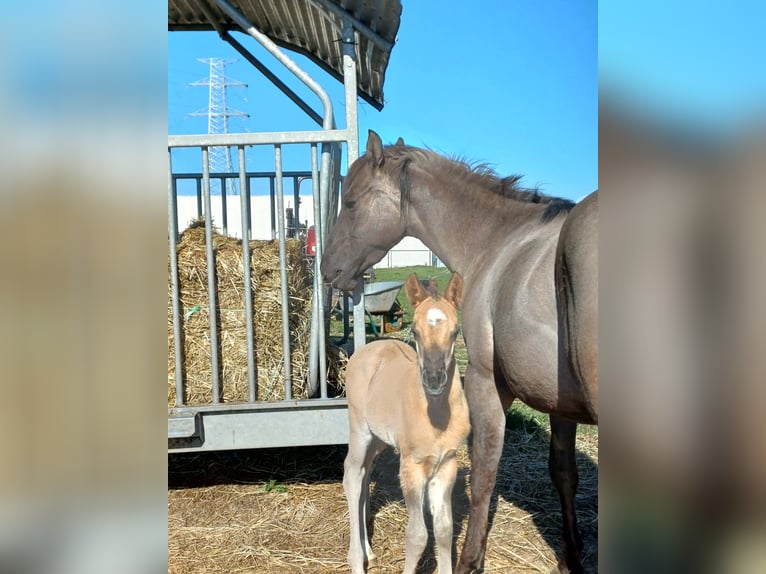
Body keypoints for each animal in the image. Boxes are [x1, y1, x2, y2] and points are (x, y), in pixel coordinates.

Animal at [344, 272, 470, 574]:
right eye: (414, 331)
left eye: (455, 331)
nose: (434, 380)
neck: (436, 417)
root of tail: (367, 348)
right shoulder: (411, 466)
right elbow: (417, 535)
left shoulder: (447, 464)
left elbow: (445, 529)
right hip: (359, 429)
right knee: (351, 475)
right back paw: (356, 559)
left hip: (378, 439)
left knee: (365, 474)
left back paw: (368, 552)